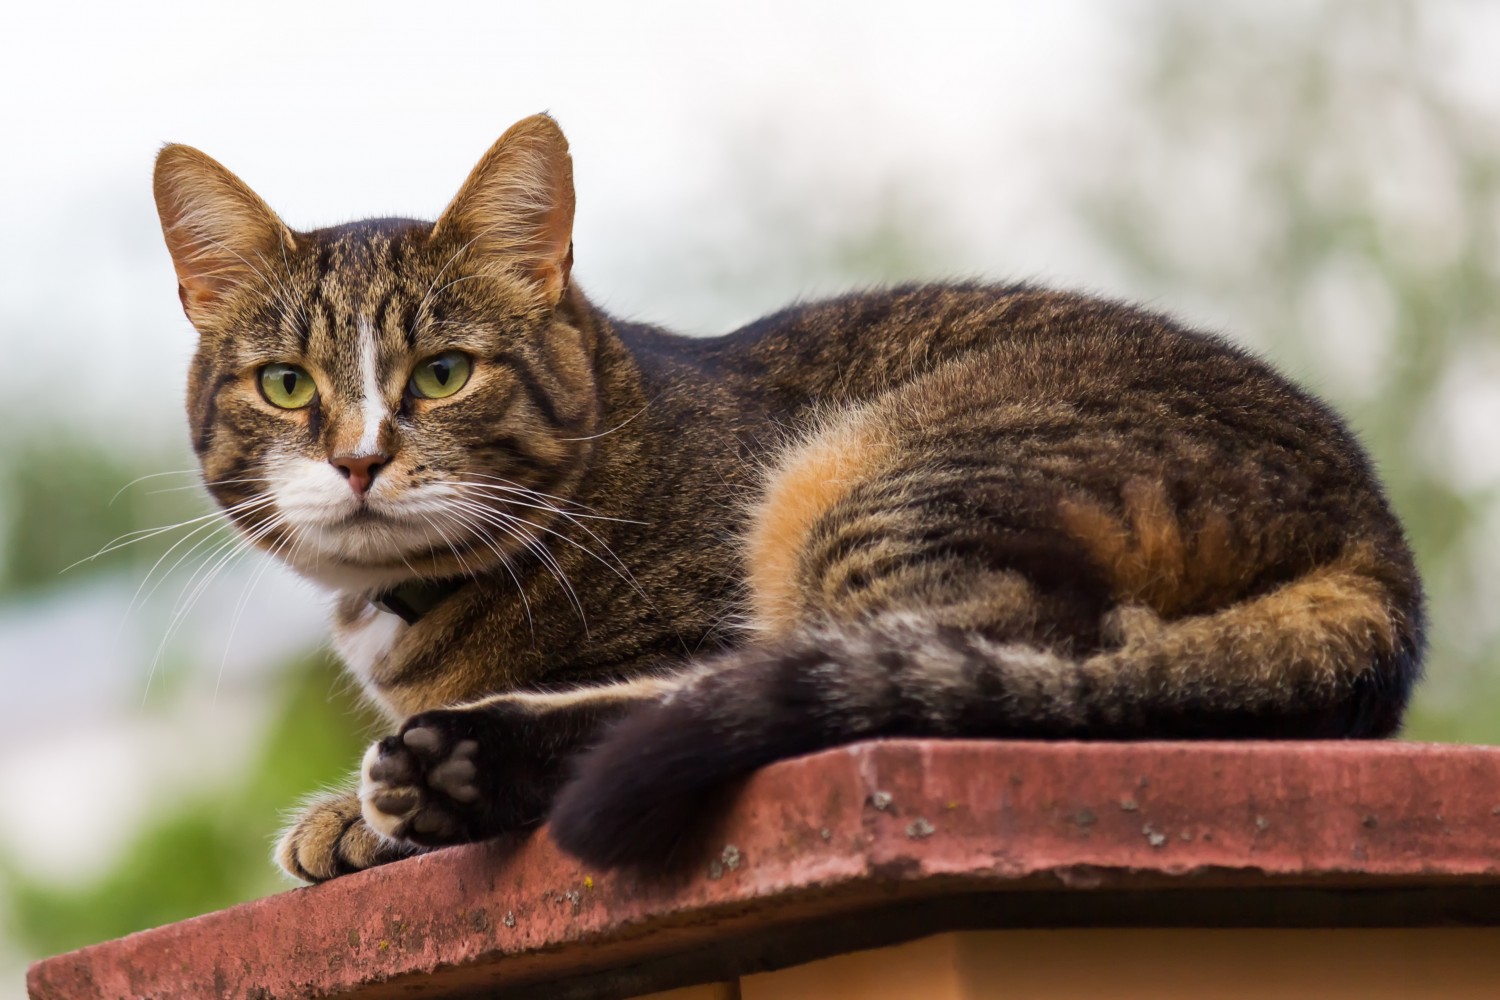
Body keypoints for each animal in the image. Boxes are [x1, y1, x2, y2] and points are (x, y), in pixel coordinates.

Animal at [155, 113, 1428, 881]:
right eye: (286, 384)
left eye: (442, 373)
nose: (360, 459)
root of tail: (1378, 538)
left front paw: (367, 816)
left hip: (875, 479)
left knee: (956, 666)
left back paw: (458, 768)